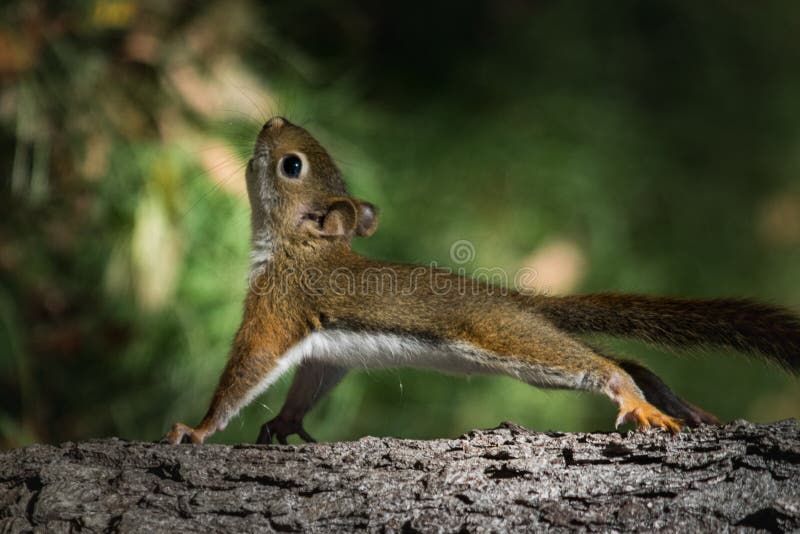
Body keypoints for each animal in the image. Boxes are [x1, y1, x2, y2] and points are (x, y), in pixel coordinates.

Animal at [165, 116, 800, 445]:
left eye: (289, 165)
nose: (272, 120)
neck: (297, 249)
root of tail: (509, 298)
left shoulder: (277, 308)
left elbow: (248, 367)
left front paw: (197, 430)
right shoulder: (321, 347)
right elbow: (311, 379)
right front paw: (287, 421)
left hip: (508, 339)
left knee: (604, 365)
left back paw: (633, 397)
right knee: (629, 360)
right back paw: (678, 404)